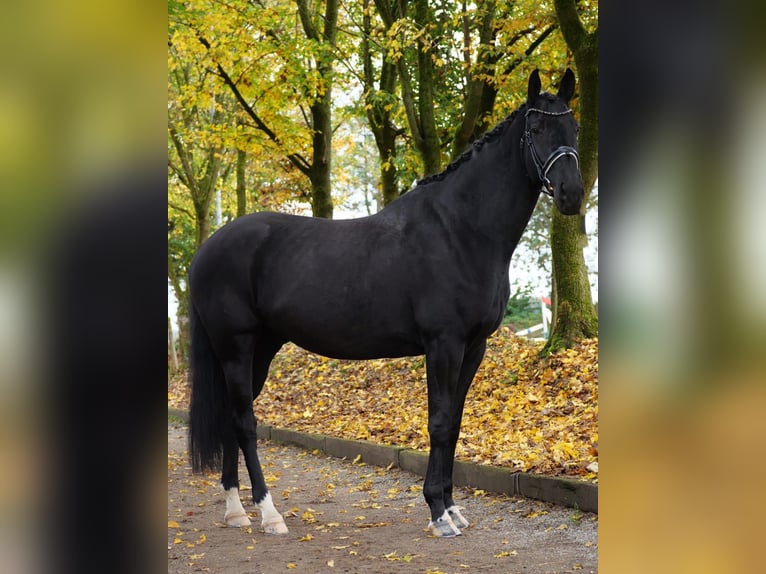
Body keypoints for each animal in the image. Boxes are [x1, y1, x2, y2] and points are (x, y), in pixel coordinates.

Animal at [189, 68, 584, 540]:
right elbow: (439, 421)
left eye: (575, 128)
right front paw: (438, 513)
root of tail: (208, 249)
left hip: (260, 350)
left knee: (233, 419)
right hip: (236, 346)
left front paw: (453, 509)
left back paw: (236, 512)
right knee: (246, 424)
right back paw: (269, 515)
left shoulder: (474, 347)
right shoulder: (443, 344)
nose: (572, 194)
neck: (460, 229)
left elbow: (454, 424)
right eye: (536, 129)